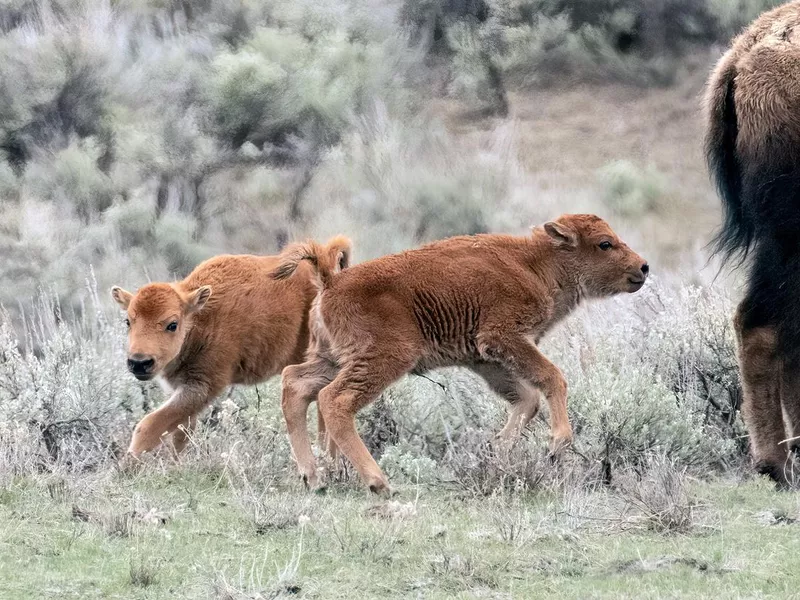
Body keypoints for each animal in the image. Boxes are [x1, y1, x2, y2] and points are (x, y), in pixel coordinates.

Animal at [111, 237, 350, 458]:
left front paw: (127, 467)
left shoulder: (203, 385)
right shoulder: (183, 389)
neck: (199, 319)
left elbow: (148, 426)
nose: (139, 362)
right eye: (128, 321)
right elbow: (180, 432)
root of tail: (328, 274)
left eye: (172, 324)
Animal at [272, 213, 648, 494]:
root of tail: (331, 282)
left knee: (296, 385)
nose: (643, 267)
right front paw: (556, 444)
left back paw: (314, 478)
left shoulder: (484, 358)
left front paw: (497, 450)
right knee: (334, 399)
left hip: (333, 359)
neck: (534, 263)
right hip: (385, 358)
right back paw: (378, 482)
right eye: (604, 243)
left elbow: (526, 399)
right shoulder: (504, 337)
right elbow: (552, 378)